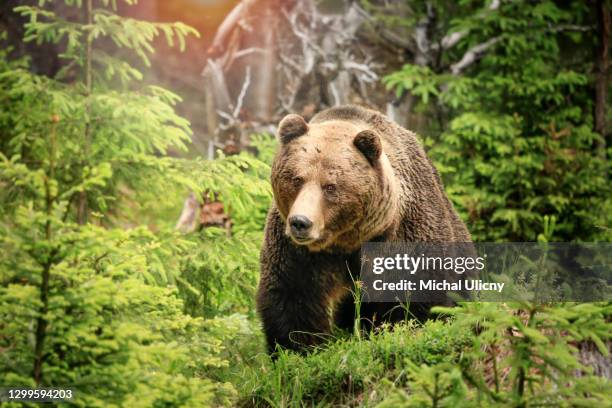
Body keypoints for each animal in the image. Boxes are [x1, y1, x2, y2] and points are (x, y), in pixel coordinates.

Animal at [256, 105, 470, 354]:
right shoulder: (295, 251)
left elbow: (417, 292)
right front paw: (299, 348)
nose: (301, 222)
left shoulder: (405, 235)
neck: (346, 240)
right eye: (297, 179)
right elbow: (293, 296)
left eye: (330, 186)